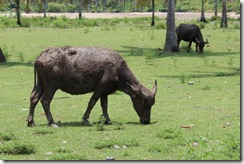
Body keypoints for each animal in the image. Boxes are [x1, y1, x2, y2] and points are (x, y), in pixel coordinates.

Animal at [26, 46, 156, 127]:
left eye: (152, 104)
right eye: (144, 102)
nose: (146, 121)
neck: (118, 69)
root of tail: (41, 56)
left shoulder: (105, 92)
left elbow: (104, 106)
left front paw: (108, 120)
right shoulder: (100, 88)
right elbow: (92, 102)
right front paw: (85, 120)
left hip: (41, 83)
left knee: (34, 98)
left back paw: (31, 122)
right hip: (51, 85)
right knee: (45, 100)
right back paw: (52, 122)